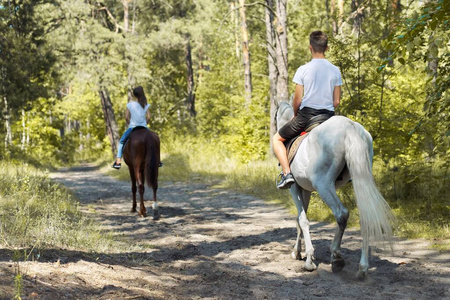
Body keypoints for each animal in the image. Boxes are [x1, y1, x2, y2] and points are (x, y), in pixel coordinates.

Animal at [276, 101, 396, 278]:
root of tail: (350, 127)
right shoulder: (305, 189)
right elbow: (300, 219)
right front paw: (298, 252)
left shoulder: (295, 188)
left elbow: (301, 219)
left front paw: (307, 258)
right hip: (359, 179)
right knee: (364, 215)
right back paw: (362, 268)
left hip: (323, 184)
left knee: (341, 213)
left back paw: (336, 256)